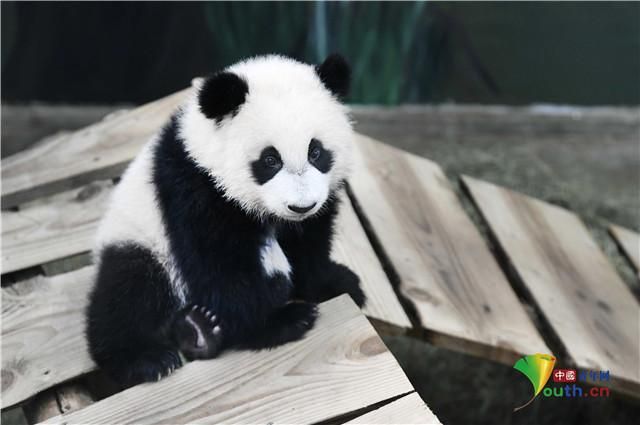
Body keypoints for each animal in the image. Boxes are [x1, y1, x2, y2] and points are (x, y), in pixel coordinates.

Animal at [85, 54, 364, 386]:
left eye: (316, 152)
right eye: (270, 160)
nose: (301, 206)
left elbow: (308, 243)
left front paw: (335, 283)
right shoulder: (194, 190)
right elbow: (221, 267)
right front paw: (276, 322)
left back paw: (195, 331)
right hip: (143, 242)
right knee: (128, 294)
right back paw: (155, 354)